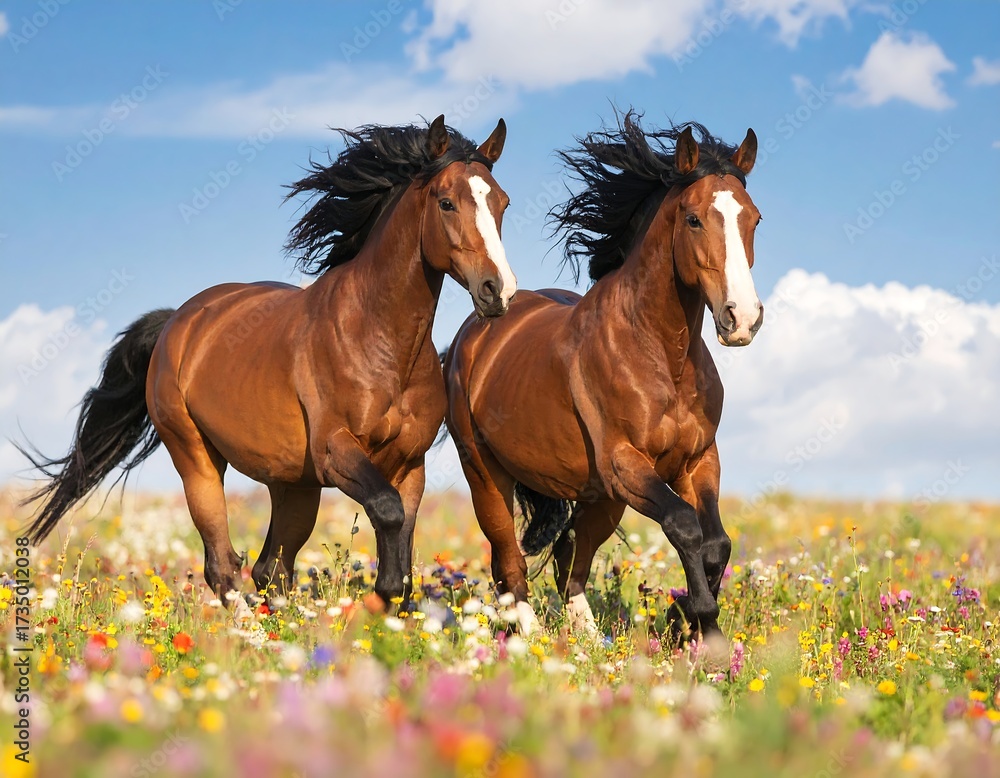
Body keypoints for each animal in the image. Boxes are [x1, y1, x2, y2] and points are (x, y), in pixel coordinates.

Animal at [21, 115, 514, 617]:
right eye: (446, 202)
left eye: (502, 202)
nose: (498, 290)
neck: (379, 342)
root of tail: (178, 321)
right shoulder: (336, 450)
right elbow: (388, 512)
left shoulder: (410, 465)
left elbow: (401, 549)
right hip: (197, 459)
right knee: (223, 565)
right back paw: (247, 627)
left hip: (293, 484)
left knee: (270, 570)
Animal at [444, 112, 762, 644]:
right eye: (693, 219)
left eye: (754, 218)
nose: (742, 319)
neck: (662, 356)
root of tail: (472, 332)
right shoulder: (625, 463)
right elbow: (685, 525)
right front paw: (700, 619)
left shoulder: (698, 460)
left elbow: (717, 541)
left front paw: (683, 621)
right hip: (487, 474)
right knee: (509, 560)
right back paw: (530, 637)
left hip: (600, 497)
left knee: (570, 557)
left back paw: (589, 642)